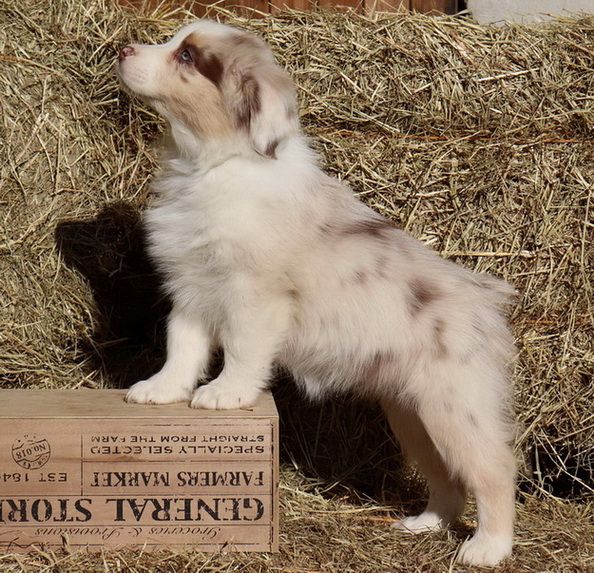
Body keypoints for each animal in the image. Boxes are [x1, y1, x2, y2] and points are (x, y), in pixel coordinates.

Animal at [118, 20, 517, 567]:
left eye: (188, 57)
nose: (123, 49)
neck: (209, 166)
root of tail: (486, 299)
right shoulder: (191, 288)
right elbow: (182, 347)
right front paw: (162, 390)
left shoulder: (254, 296)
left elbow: (241, 351)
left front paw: (225, 394)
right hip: (412, 414)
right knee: (445, 476)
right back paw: (426, 523)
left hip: (457, 407)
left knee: (495, 469)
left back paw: (488, 548)